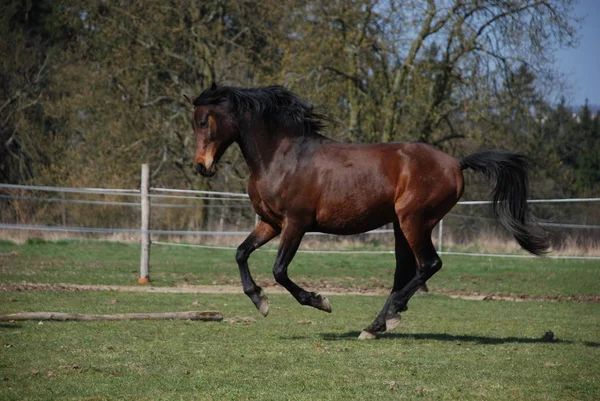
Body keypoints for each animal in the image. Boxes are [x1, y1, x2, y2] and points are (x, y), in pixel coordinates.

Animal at [186, 83, 548, 338]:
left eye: (203, 121)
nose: (201, 166)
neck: (283, 157)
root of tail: (456, 163)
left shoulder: (296, 224)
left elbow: (279, 270)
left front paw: (320, 301)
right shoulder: (270, 223)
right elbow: (240, 253)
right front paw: (259, 301)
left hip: (415, 221)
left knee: (429, 264)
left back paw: (384, 319)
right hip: (402, 226)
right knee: (406, 271)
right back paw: (380, 323)